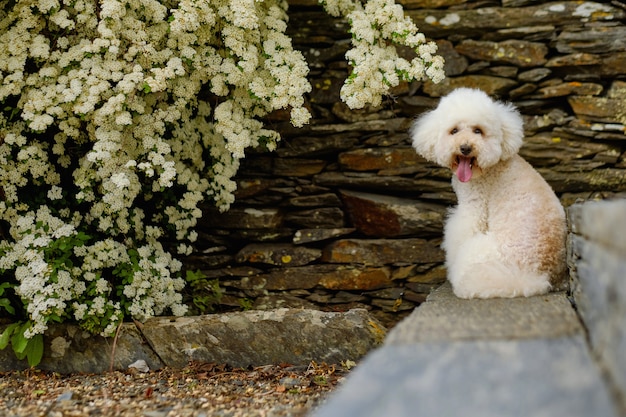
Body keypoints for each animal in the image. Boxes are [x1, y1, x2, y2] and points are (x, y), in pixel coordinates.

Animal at [410, 88, 564, 298]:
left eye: (478, 131)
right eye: (454, 130)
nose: (465, 148)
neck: (489, 168)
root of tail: (537, 276)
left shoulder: (474, 208)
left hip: (478, 253)